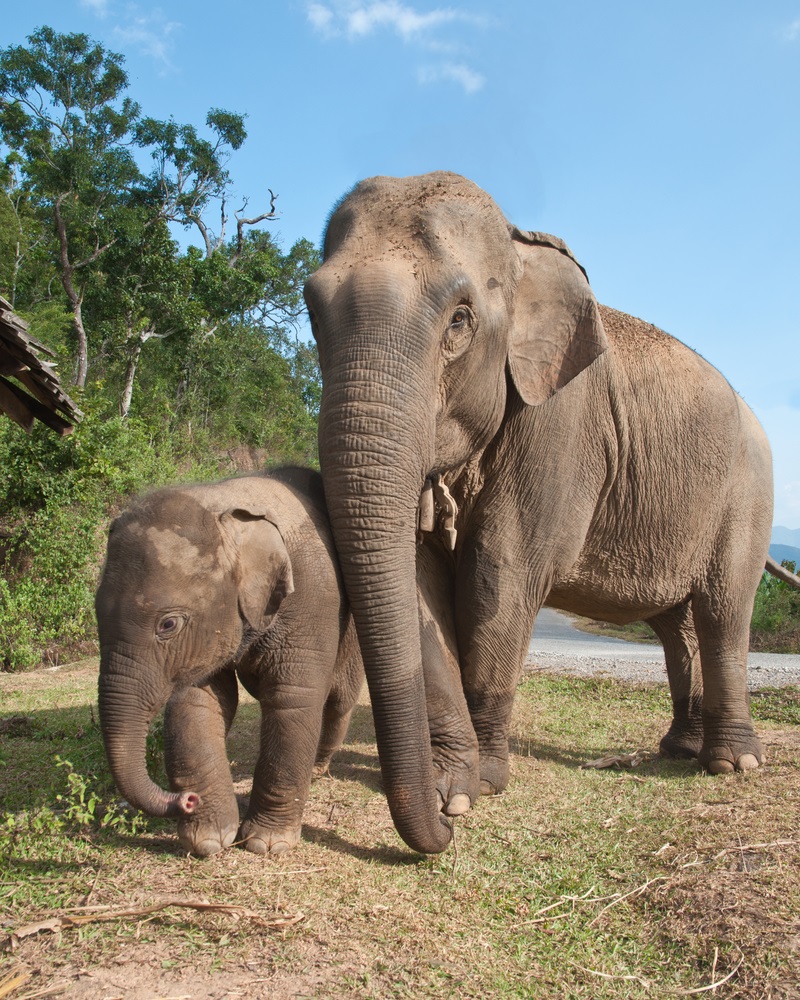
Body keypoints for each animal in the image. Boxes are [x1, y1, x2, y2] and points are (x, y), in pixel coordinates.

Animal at [95, 464, 364, 856]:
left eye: (168, 624)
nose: (187, 799)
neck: (223, 501)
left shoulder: (311, 598)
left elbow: (291, 699)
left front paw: (267, 844)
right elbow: (196, 702)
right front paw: (208, 839)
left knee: (339, 698)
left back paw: (318, 768)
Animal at [306, 170, 776, 852]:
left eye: (460, 319)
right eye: (312, 311)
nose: (442, 832)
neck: (520, 247)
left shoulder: (559, 425)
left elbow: (498, 575)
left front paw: (482, 784)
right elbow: (421, 582)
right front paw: (455, 788)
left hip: (748, 495)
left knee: (722, 610)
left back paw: (732, 764)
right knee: (675, 625)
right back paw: (680, 750)